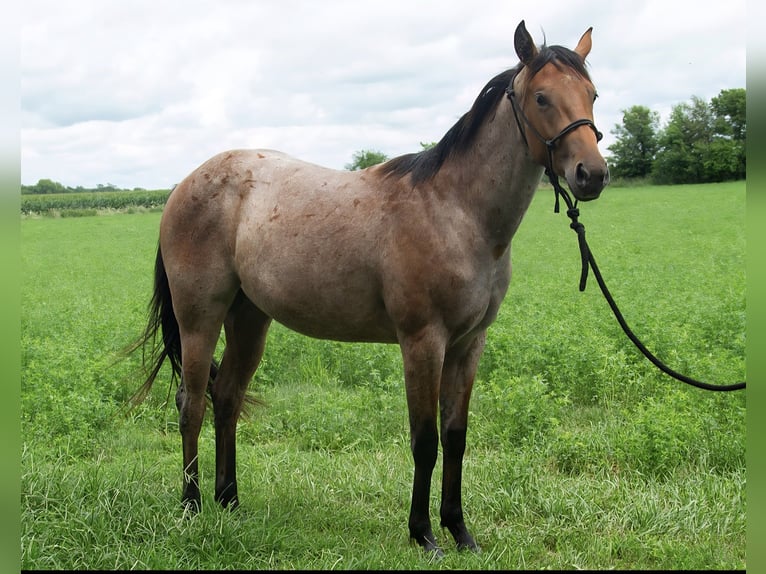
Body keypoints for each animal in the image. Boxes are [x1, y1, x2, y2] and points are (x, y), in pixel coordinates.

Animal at [132, 20, 609, 555]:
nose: (592, 174)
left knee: (227, 397)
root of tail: (182, 187)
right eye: (542, 97)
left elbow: (456, 436)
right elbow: (425, 440)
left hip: (249, 318)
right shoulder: (423, 341)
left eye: (591, 94)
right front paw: (423, 534)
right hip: (200, 318)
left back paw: (230, 501)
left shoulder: (469, 344)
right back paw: (192, 506)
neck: (456, 212)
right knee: (191, 403)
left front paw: (460, 530)